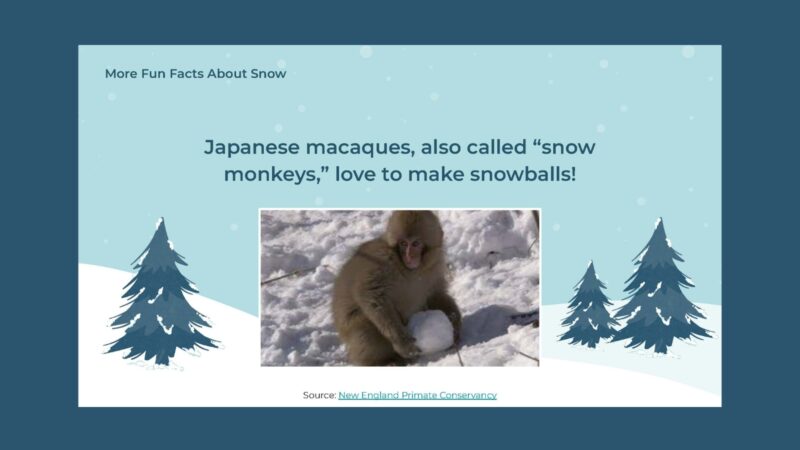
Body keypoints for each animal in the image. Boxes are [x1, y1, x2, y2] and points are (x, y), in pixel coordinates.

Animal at [332, 210, 462, 366]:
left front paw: (454, 318)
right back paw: (384, 362)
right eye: (403, 244)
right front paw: (403, 343)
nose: (409, 256)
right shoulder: (380, 260)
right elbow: (371, 296)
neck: (409, 269)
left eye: (415, 243)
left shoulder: (434, 265)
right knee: (365, 326)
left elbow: (435, 294)